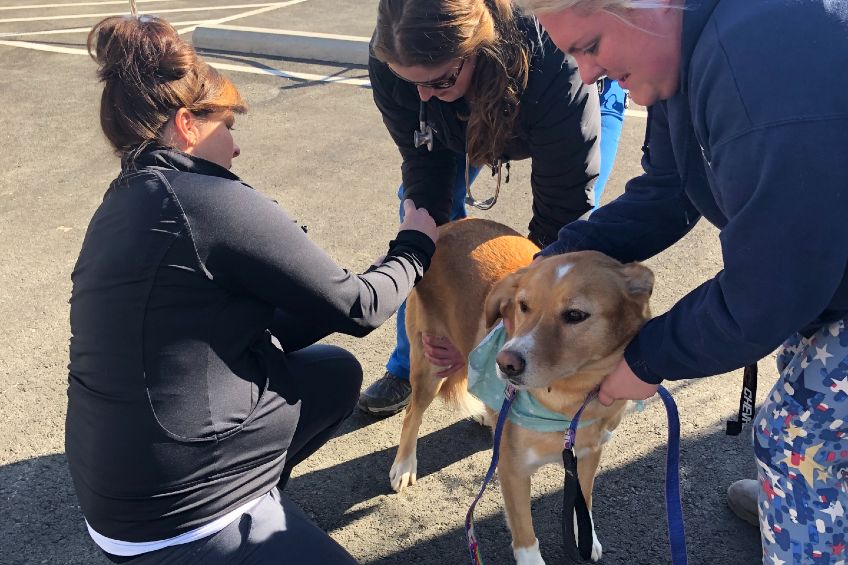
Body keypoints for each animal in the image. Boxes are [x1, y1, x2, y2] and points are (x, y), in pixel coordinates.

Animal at [390, 217, 656, 564]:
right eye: (523, 306)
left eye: (575, 315)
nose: (506, 364)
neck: (565, 403)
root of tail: (449, 225)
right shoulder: (512, 469)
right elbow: (526, 534)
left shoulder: (589, 454)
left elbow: (583, 501)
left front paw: (585, 537)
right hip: (428, 364)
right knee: (413, 414)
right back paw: (404, 465)